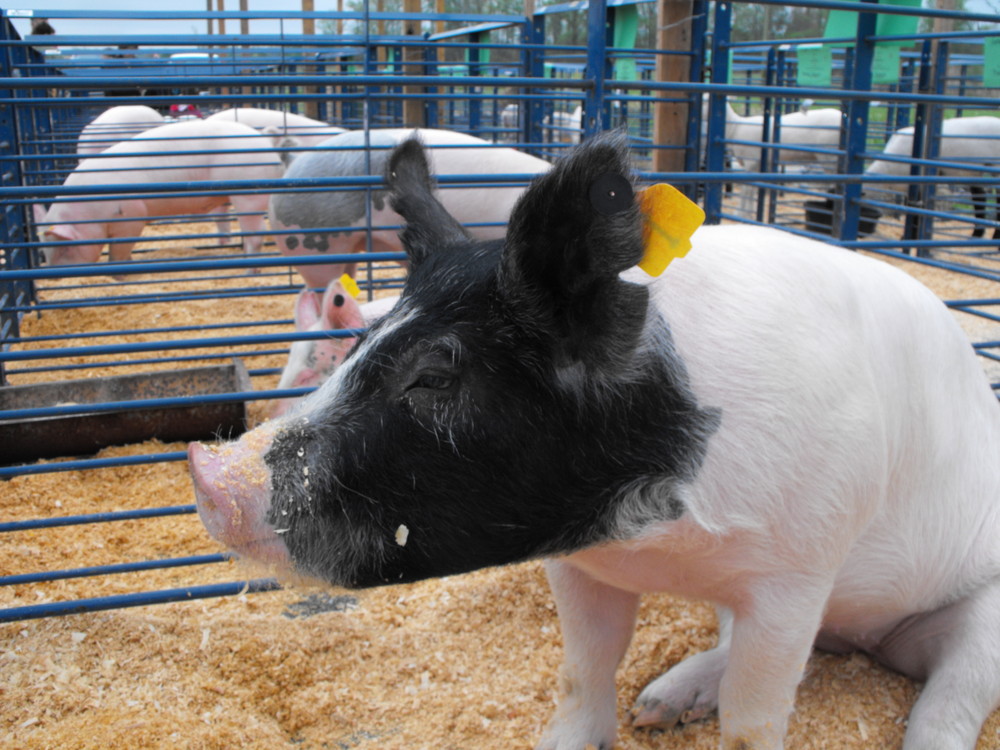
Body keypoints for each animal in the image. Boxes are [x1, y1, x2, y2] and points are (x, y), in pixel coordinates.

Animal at [34, 120, 286, 276]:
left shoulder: (131, 213)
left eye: (64, 248)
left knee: (255, 234)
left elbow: (119, 250)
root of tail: (264, 140)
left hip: (248, 194)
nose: (54, 276)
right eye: (44, 250)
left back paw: (249, 271)